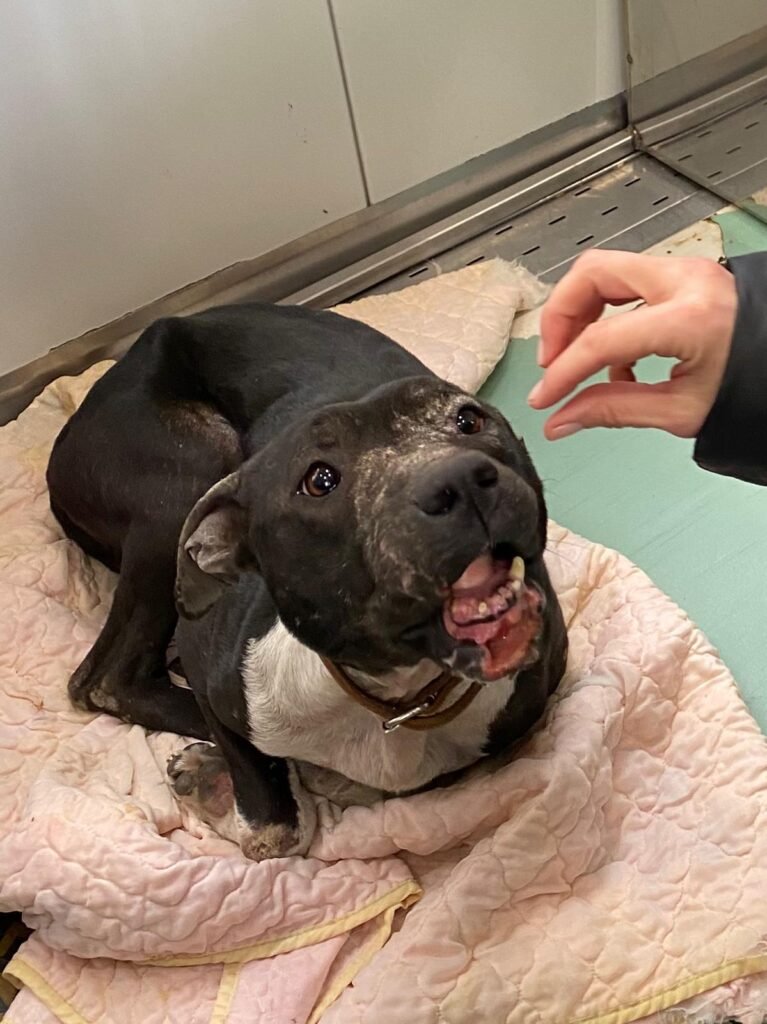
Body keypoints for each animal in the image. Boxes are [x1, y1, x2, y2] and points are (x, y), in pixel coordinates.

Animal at [46, 302, 567, 860]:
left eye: (469, 419)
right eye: (320, 480)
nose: (462, 480)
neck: (391, 694)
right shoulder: (211, 662)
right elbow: (275, 830)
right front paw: (223, 784)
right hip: (187, 475)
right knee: (104, 682)